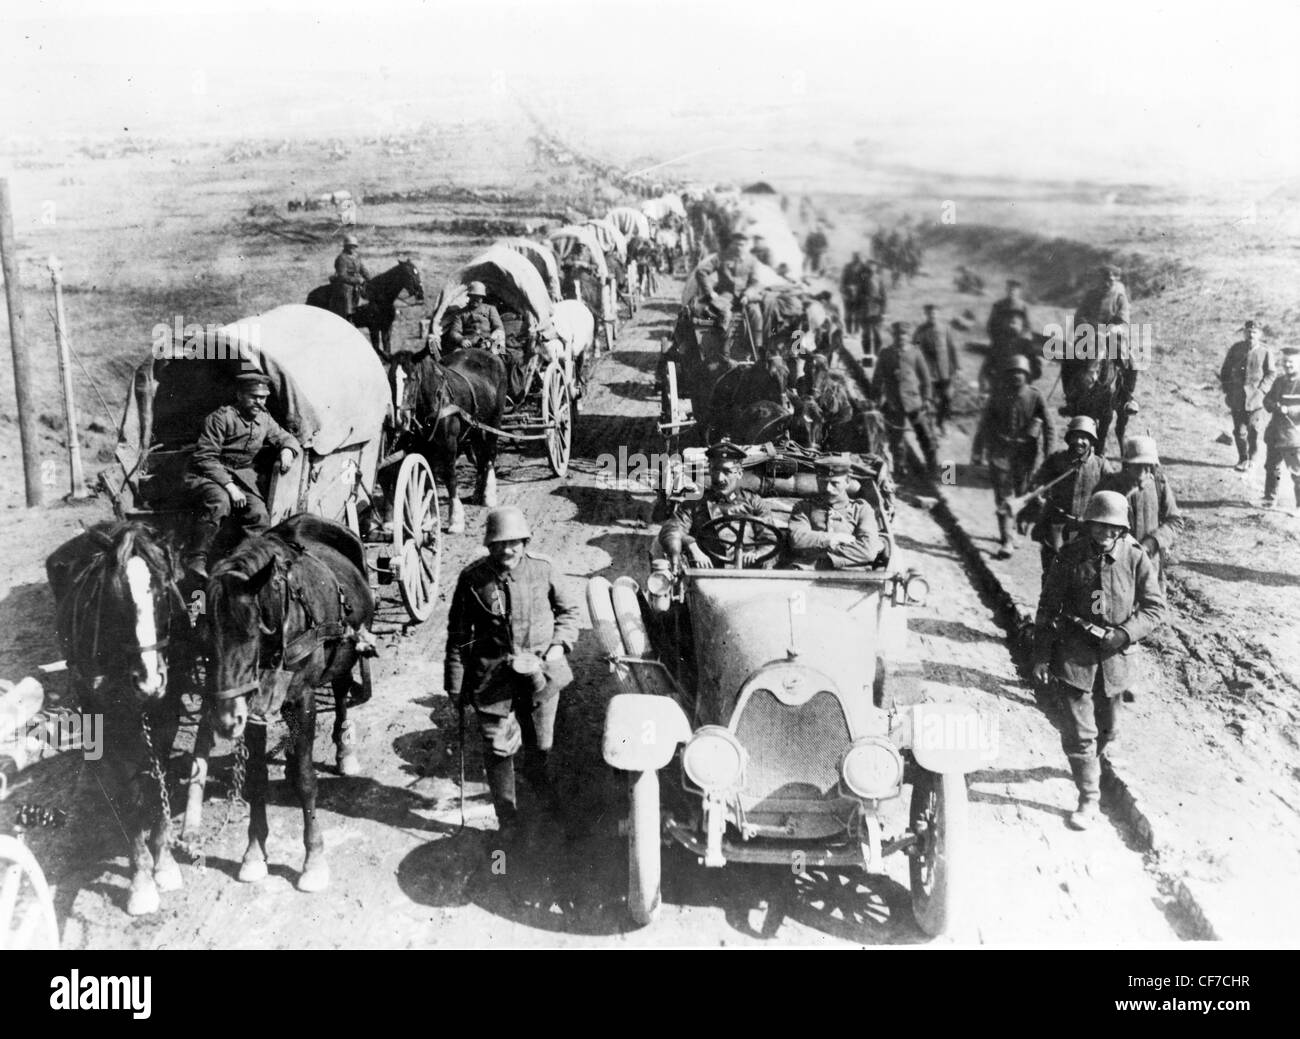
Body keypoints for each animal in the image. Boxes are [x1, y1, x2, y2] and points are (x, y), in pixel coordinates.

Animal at [45, 525, 195, 915]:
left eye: (163, 591)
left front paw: (165, 862)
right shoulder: (109, 722)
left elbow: (158, 782)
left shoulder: (166, 713)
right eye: (114, 597)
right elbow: (130, 799)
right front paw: (141, 880)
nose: (149, 681)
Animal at [204, 514, 377, 899]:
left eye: (250, 633)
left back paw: (344, 749)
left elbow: (306, 780)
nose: (225, 719)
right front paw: (254, 853)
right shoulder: (254, 709)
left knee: (341, 691)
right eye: (206, 631)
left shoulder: (303, 699)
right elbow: (256, 779)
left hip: (344, 653)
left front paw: (313, 860)